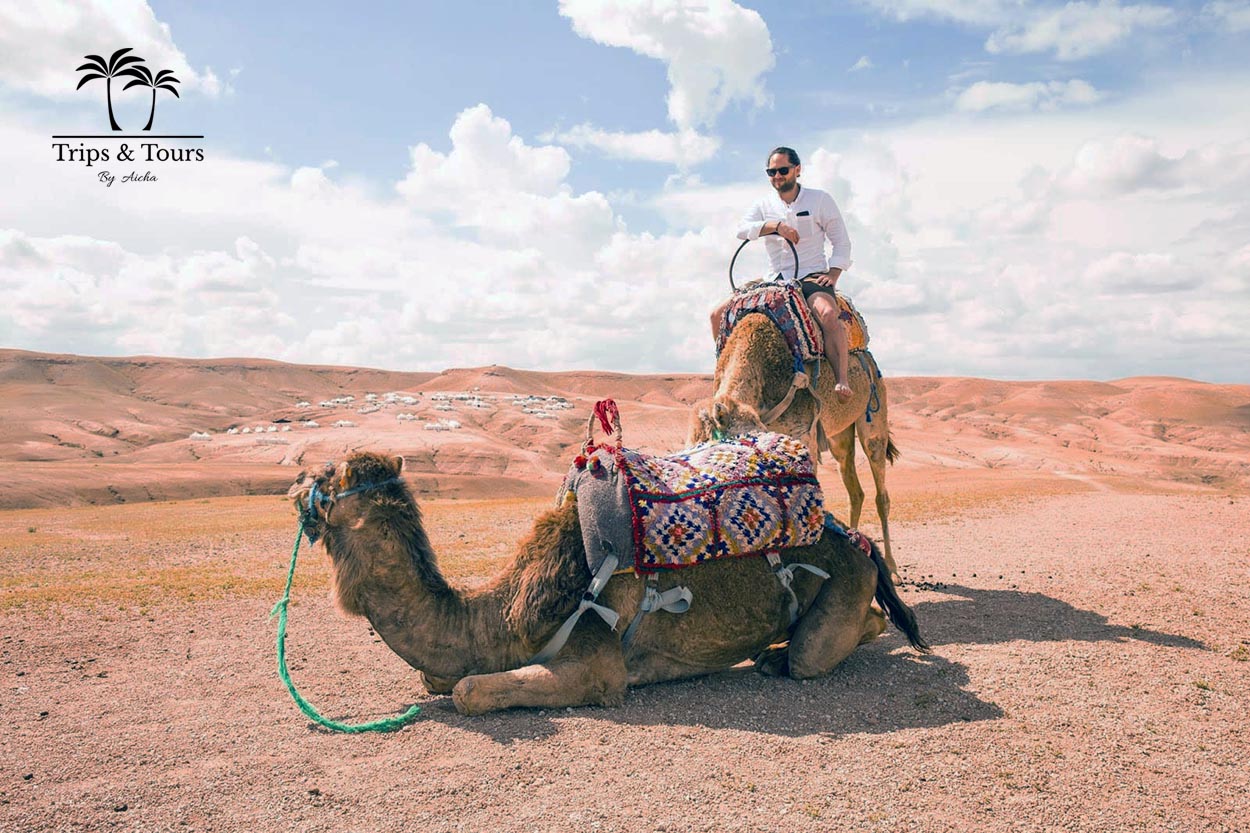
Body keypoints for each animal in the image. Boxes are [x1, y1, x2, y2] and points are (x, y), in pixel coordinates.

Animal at [288, 452, 927, 715]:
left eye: (328, 475)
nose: (293, 482)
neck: (500, 616)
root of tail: (854, 538)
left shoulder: (595, 665)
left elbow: (469, 690)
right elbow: (438, 676)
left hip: (842, 588)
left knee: (817, 651)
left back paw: (777, 657)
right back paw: (771, 651)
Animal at [689, 312, 901, 578]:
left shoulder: (804, 432)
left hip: (874, 414)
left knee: (880, 490)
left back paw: (891, 567)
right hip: (839, 436)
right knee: (855, 489)